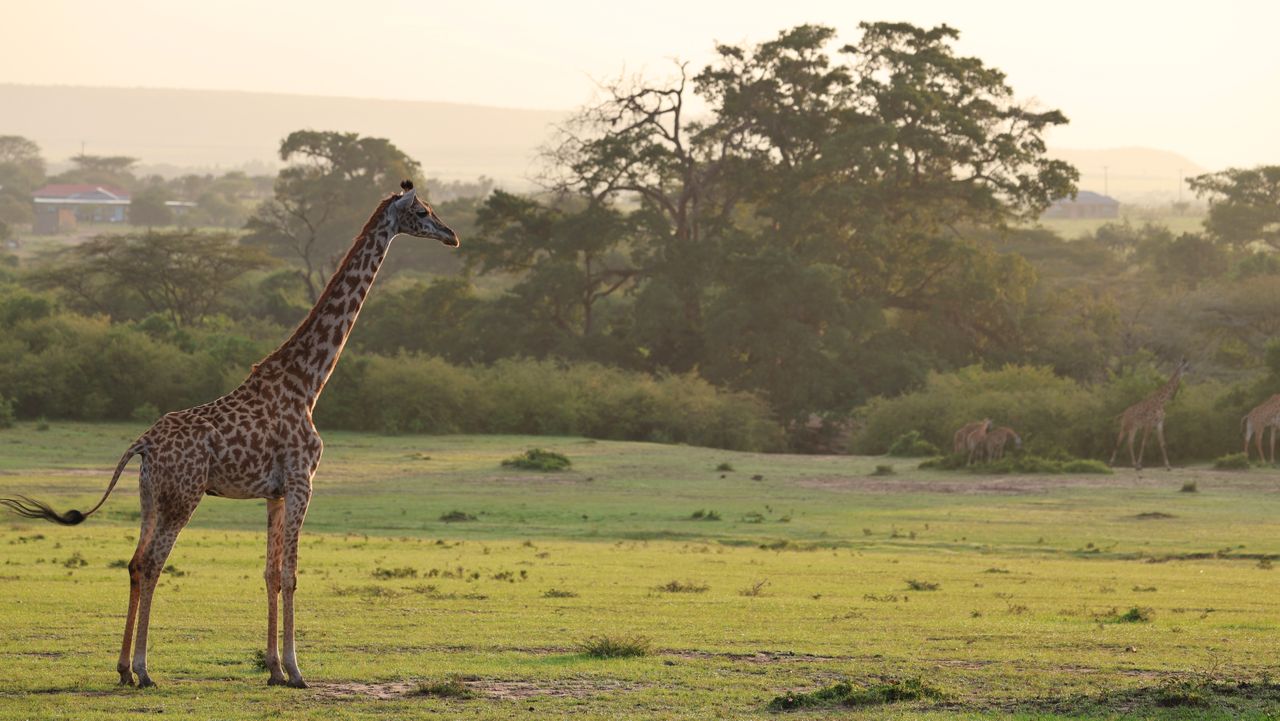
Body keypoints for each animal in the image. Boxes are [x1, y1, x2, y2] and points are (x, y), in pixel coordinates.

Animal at [0, 179, 460, 686]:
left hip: (150, 495)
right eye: (423, 211)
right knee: (153, 562)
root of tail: (142, 443)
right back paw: (143, 670)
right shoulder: (302, 481)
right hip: (184, 496)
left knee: (135, 562)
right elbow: (292, 574)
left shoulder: (274, 492)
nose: (452, 236)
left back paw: (122, 668)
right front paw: (297, 670)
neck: (309, 382)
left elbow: (270, 574)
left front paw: (274, 669)